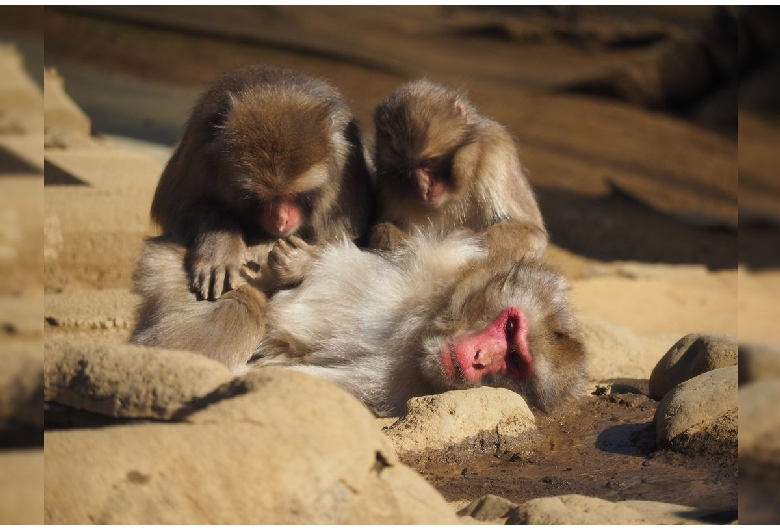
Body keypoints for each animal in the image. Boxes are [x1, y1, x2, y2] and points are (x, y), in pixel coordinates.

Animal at [133, 231, 584, 416]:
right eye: (509, 329)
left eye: (514, 362)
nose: (479, 359)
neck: (419, 334)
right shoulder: (425, 272)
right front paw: (298, 263)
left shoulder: (392, 390)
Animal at [152, 64, 374, 300]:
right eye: (257, 197)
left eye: (295, 195)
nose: (280, 219)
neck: (277, 92)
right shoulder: (199, 149)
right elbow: (177, 206)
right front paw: (220, 246)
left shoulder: (347, 174)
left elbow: (344, 237)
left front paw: (300, 262)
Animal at [368, 79, 544, 260]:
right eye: (405, 171)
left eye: (428, 163)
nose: (423, 189)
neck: (453, 194)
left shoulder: (496, 155)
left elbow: (534, 234)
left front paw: (459, 241)